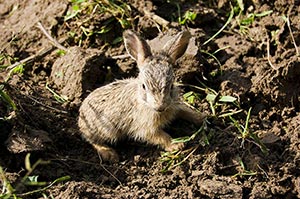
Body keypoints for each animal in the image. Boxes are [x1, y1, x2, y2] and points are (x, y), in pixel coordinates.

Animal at [77, 29, 205, 163]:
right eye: (144, 86)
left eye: (171, 86)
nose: (160, 106)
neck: (145, 103)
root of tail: (80, 116)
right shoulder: (145, 127)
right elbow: (160, 136)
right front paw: (176, 145)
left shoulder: (174, 106)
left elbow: (184, 111)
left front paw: (201, 117)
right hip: (105, 130)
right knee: (93, 140)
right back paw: (110, 154)